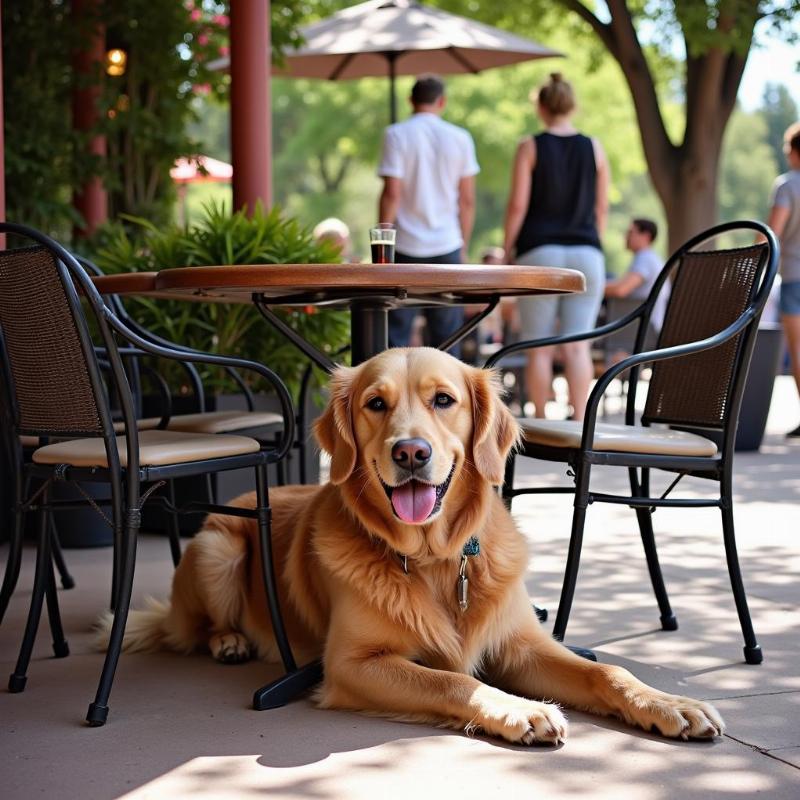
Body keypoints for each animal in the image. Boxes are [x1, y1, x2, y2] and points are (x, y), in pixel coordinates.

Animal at [103, 346, 720, 748]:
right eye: (375, 404)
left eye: (443, 400)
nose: (410, 453)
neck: (435, 559)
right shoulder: (352, 663)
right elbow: (453, 678)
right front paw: (518, 709)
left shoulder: (520, 644)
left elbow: (607, 672)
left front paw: (670, 704)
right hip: (217, 549)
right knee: (193, 627)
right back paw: (228, 639)